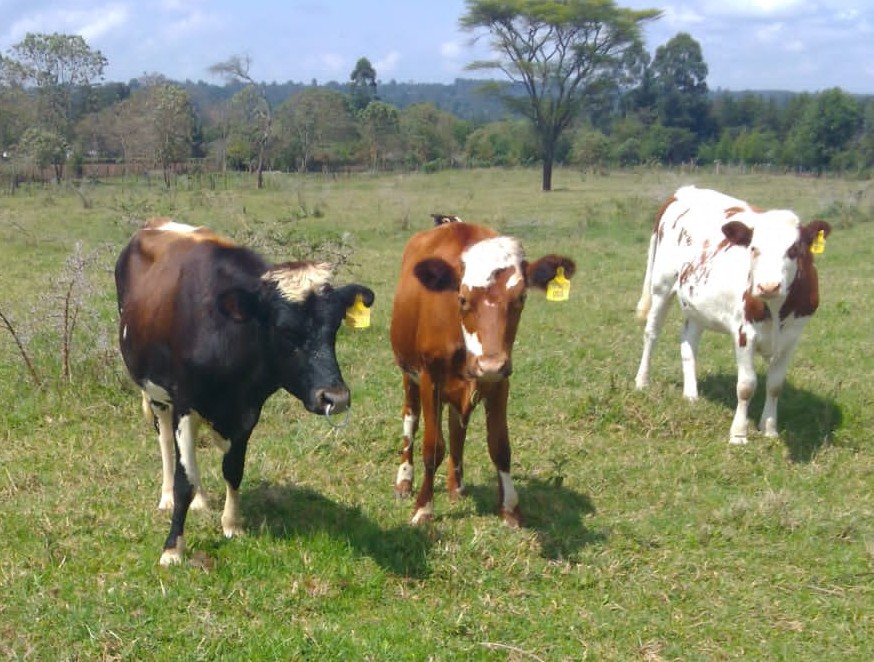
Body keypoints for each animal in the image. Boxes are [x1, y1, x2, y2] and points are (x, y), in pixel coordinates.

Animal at [115, 218, 374, 565]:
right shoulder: (184, 402)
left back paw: (202, 499)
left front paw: (232, 525)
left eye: (334, 329)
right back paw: (167, 496)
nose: (336, 397)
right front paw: (173, 547)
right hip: (156, 393)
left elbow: (233, 470)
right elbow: (184, 480)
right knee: (167, 441)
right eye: (284, 330)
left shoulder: (248, 409)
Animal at [390, 219, 576, 525]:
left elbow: (499, 446)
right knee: (411, 420)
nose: (489, 365)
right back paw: (404, 479)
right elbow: (432, 447)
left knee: (456, 428)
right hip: (409, 375)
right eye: (463, 298)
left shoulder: (501, 381)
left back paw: (456, 486)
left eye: (521, 297)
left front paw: (510, 510)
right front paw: (423, 508)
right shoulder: (430, 378)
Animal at [634, 185, 832, 444]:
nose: (768, 286)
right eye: (754, 248)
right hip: (661, 285)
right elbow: (746, 386)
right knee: (652, 333)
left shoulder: (792, 337)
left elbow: (775, 385)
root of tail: (685, 190)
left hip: (696, 303)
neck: (776, 308)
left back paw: (691, 394)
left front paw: (769, 429)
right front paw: (738, 434)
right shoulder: (744, 333)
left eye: (794, 250)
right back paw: (642, 381)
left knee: (688, 341)